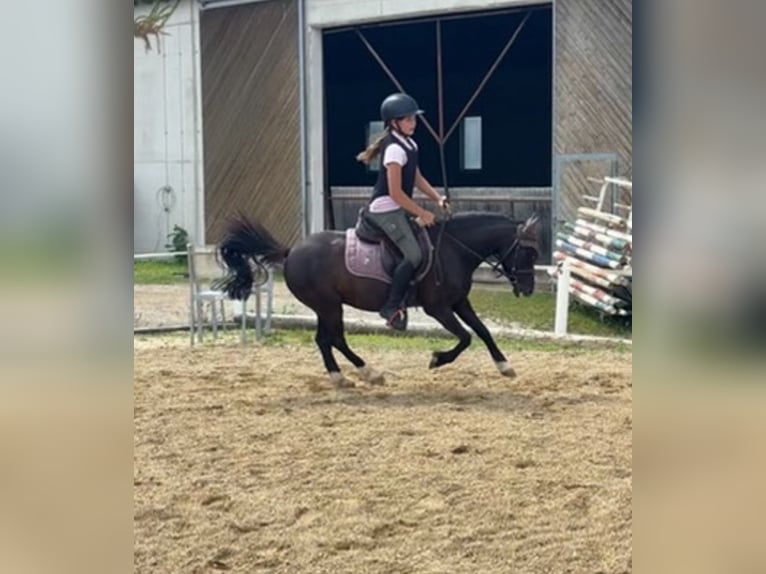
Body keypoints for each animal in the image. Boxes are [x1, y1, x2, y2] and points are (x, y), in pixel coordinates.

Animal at [216, 212, 540, 388]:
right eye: (528, 252)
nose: (528, 289)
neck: (453, 248)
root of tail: (291, 251)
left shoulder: (459, 302)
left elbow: (483, 332)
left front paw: (504, 366)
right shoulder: (438, 308)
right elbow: (465, 337)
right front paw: (437, 359)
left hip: (326, 307)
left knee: (325, 340)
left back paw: (345, 376)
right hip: (329, 306)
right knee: (334, 339)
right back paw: (366, 372)